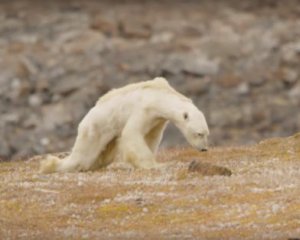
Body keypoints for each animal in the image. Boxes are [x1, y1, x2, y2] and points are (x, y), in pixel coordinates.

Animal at [39, 78, 209, 173]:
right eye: (199, 133)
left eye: (206, 134)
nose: (204, 149)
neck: (159, 95)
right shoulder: (144, 109)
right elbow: (132, 133)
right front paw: (156, 165)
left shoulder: (158, 120)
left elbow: (151, 137)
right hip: (95, 128)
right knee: (83, 157)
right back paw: (50, 165)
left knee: (103, 157)